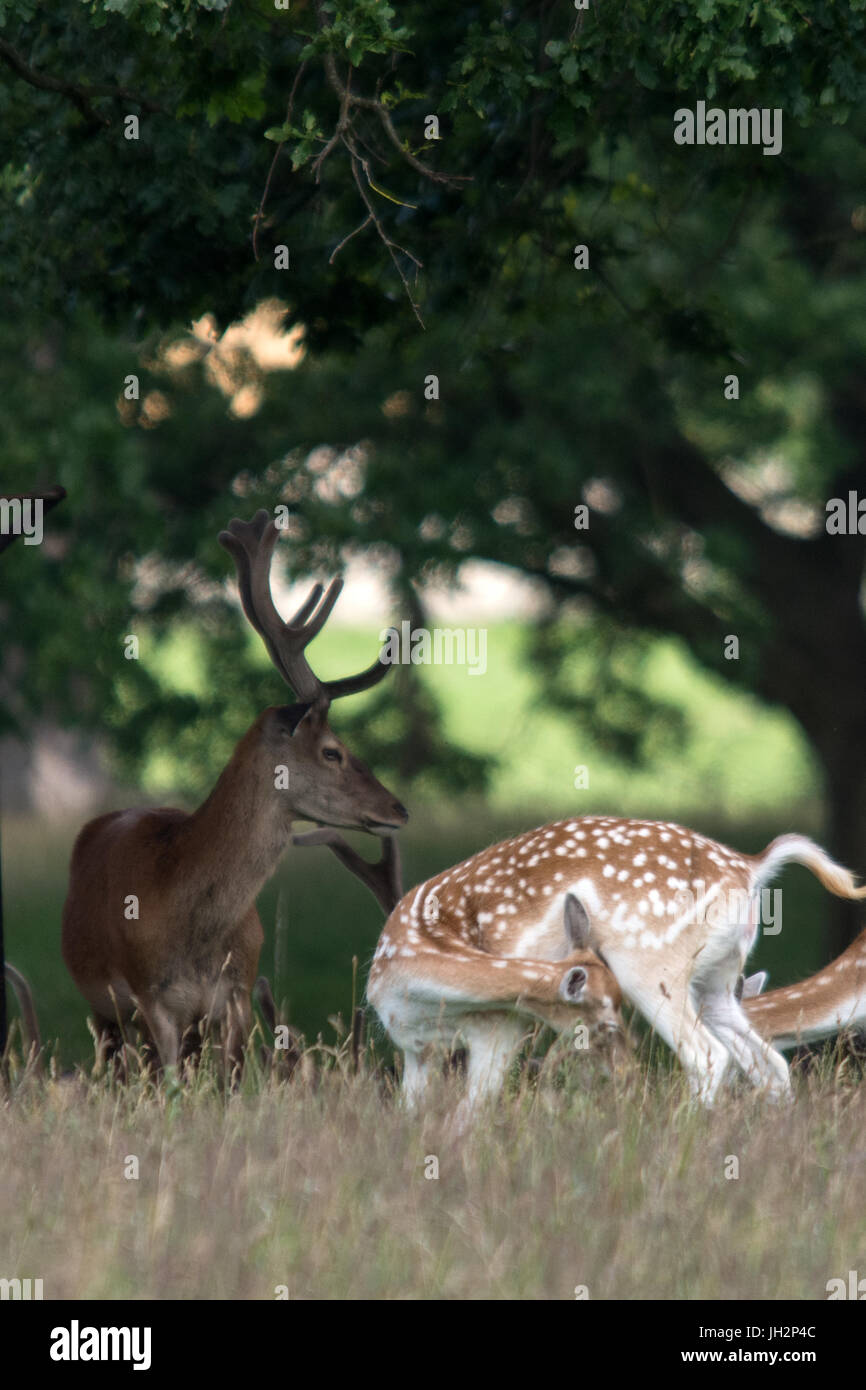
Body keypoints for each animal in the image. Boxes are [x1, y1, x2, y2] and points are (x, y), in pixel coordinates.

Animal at [369, 811, 866, 1106]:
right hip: (718, 979)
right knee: (770, 1064)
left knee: (707, 1056)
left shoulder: (499, 1027)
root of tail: (750, 867)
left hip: (650, 965)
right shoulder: (416, 1052)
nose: (623, 1070)